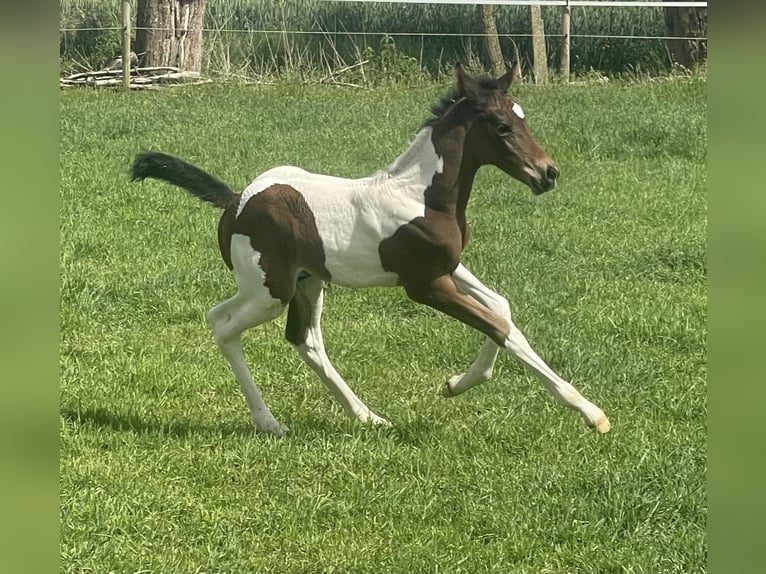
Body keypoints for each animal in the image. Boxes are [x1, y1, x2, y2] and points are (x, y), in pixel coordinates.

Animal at [130, 54, 611, 437]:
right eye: (501, 126)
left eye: (523, 117)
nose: (548, 173)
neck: (422, 196)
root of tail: (235, 201)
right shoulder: (424, 285)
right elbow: (498, 326)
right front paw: (590, 411)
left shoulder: (449, 267)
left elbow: (501, 311)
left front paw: (455, 384)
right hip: (270, 290)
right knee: (224, 325)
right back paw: (270, 422)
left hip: (307, 282)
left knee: (304, 340)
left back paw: (367, 417)